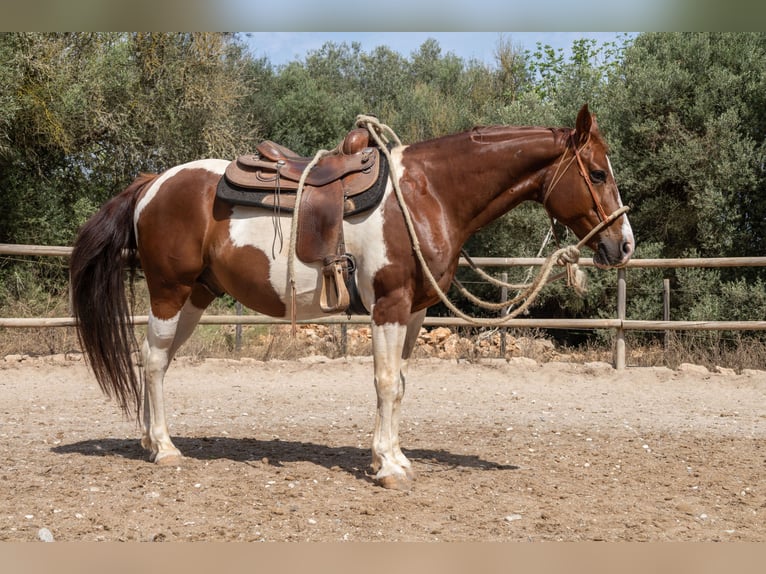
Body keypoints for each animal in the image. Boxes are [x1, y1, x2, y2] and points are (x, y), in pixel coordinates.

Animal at [70, 104, 634, 490]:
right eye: (598, 173)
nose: (624, 244)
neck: (428, 193)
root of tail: (152, 184)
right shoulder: (388, 306)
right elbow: (385, 383)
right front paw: (387, 467)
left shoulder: (414, 312)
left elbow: (400, 385)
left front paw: (394, 457)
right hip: (170, 291)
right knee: (152, 360)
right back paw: (164, 449)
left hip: (196, 296)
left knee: (158, 361)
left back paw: (151, 441)